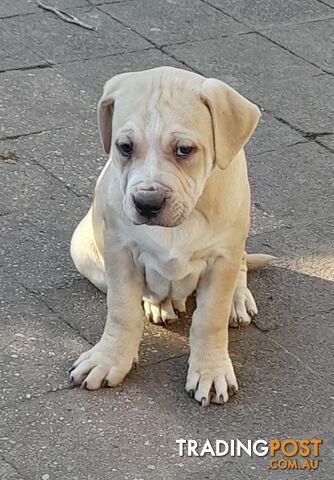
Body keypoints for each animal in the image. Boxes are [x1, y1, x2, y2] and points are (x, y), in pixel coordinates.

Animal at [70, 66, 272, 404]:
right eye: (124, 147)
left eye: (184, 150)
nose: (147, 203)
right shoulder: (119, 251)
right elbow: (122, 311)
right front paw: (110, 359)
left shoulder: (223, 258)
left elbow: (210, 319)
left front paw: (211, 370)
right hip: (83, 251)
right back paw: (159, 304)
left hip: (237, 245)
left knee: (241, 266)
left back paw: (238, 300)